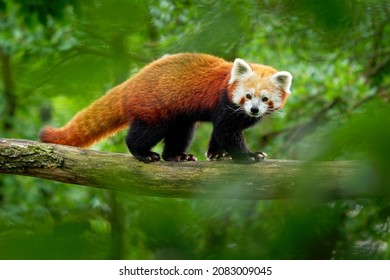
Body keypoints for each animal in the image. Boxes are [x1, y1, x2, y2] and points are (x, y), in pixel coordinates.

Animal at [40, 52, 292, 163]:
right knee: (143, 133)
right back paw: (143, 153)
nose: (254, 110)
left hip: (179, 116)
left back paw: (176, 155)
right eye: (248, 96)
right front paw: (249, 156)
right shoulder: (224, 104)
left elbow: (220, 133)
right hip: (154, 109)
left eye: (265, 99)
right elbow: (226, 131)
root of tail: (131, 83)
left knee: (181, 133)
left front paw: (216, 153)